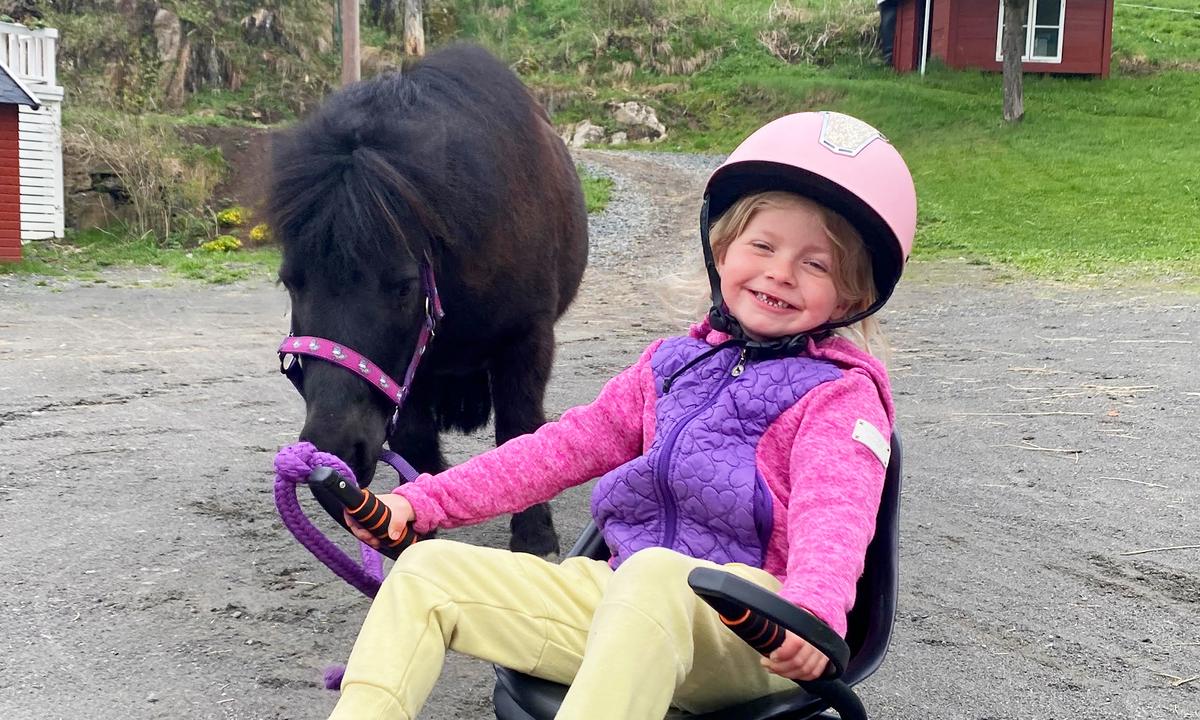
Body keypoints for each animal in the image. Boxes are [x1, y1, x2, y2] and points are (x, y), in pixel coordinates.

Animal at [267, 44, 588, 557]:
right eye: (291, 282)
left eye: (402, 285)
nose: (335, 447)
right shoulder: (411, 374)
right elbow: (416, 441)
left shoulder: (527, 337)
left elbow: (520, 428)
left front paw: (535, 535)